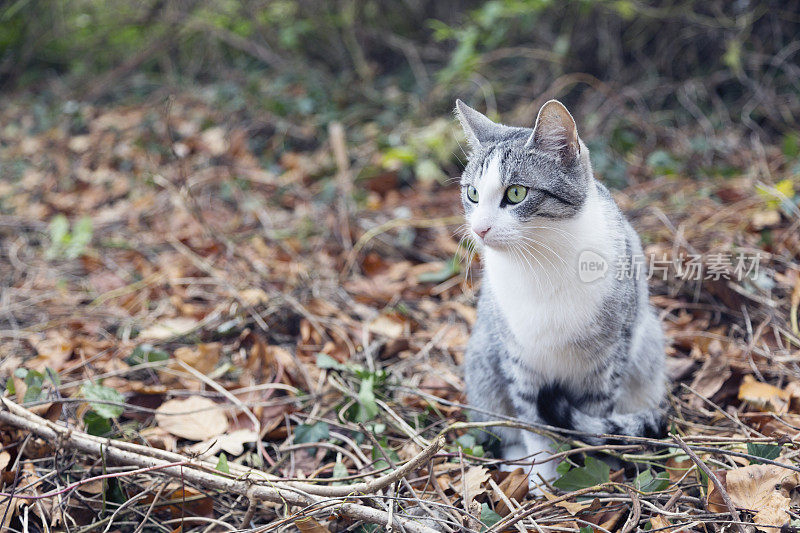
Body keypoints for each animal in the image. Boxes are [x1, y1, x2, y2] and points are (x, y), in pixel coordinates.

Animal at [456, 97, 668, 488]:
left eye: (516, 193)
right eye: (472, 194)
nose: (479, 229)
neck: (540, 262)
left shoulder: (609, 360)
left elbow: (592, 422)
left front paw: (595, 472)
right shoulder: (519, 359)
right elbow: (534, 424)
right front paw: (542, 477)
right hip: (483, 362)